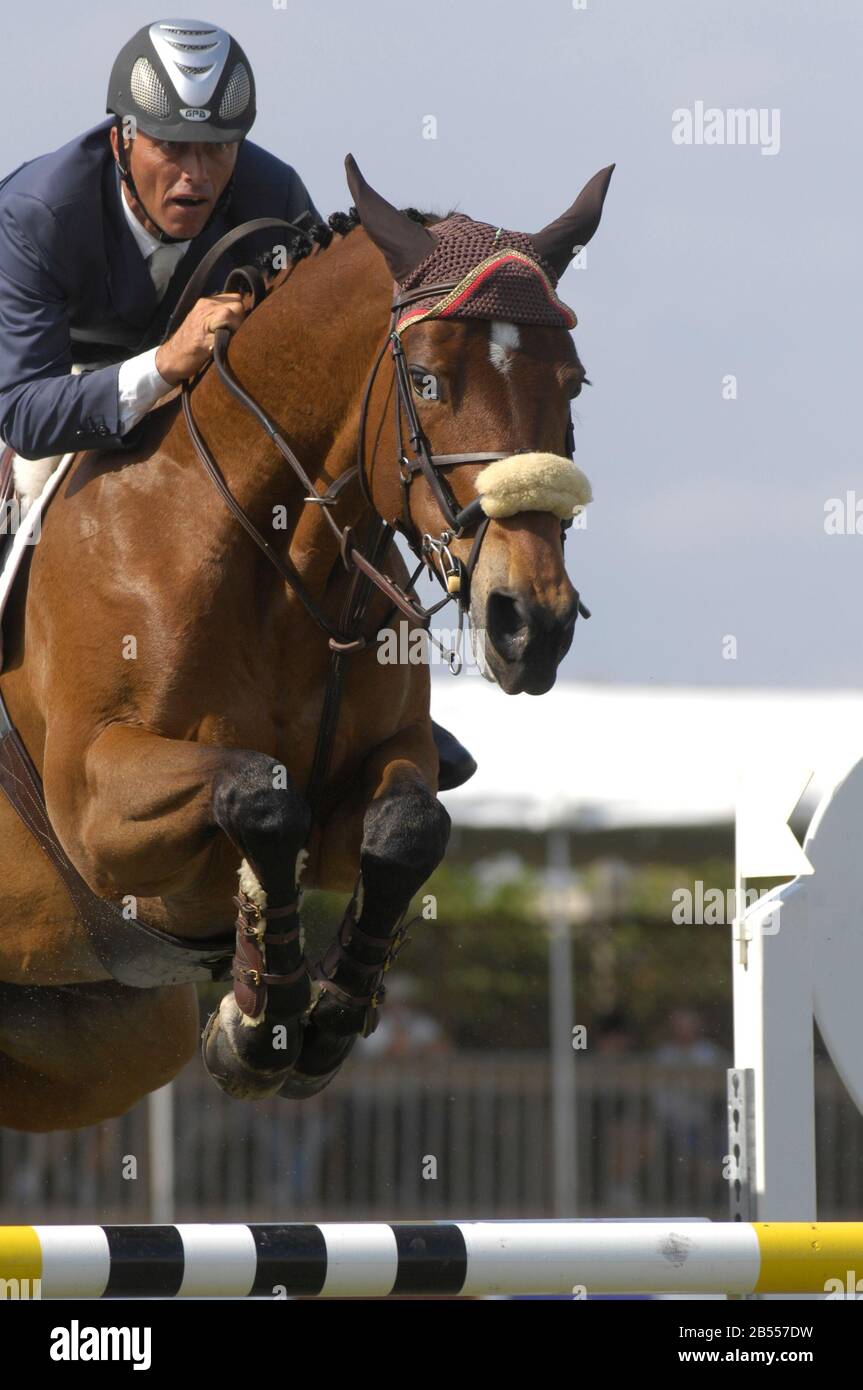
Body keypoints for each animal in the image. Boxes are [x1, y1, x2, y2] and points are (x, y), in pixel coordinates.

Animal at [0, 154, 611, 1128]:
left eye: (573, 383)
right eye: (427, 380)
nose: (532, 623)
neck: (276, 560)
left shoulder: (385, 765)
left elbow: (407, 826)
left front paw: (319, 1018)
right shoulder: (94, 811)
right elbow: (260, 792)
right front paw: (260, 1024)